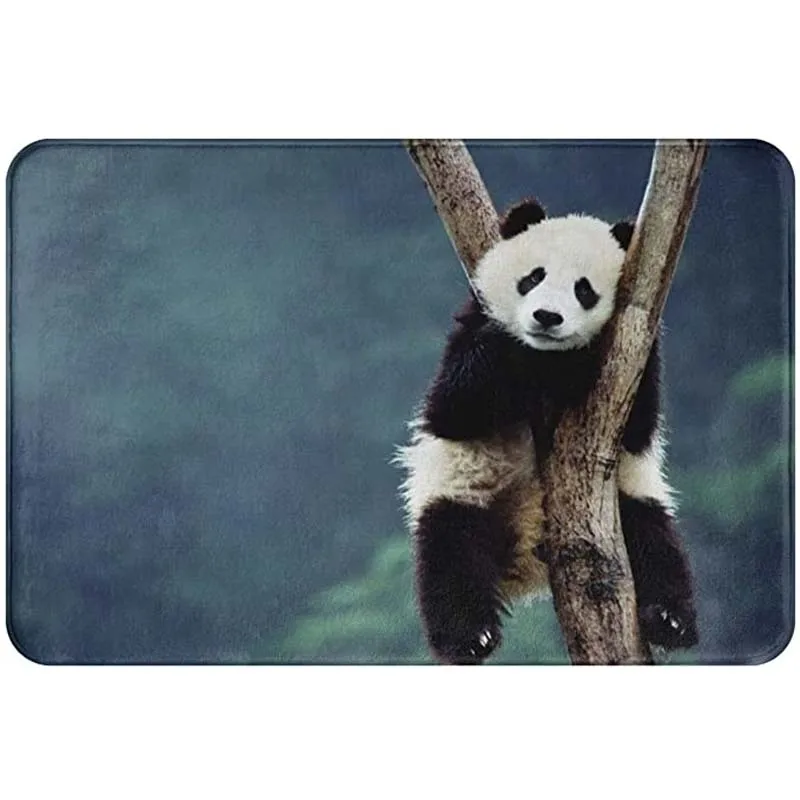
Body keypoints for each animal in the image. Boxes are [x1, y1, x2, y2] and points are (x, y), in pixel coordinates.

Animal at [397, 198, 698, 664]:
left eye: (584, 290)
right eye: (533, 277)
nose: (546, 317)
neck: (546, 358)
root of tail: (525, 560)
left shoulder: (635, 355)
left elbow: (638, 427)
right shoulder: (471, 328)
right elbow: (453, 406)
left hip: (628, 502)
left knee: (656, 543)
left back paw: (670, 619)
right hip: (464, 491)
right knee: (450, 555)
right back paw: (470, 637)